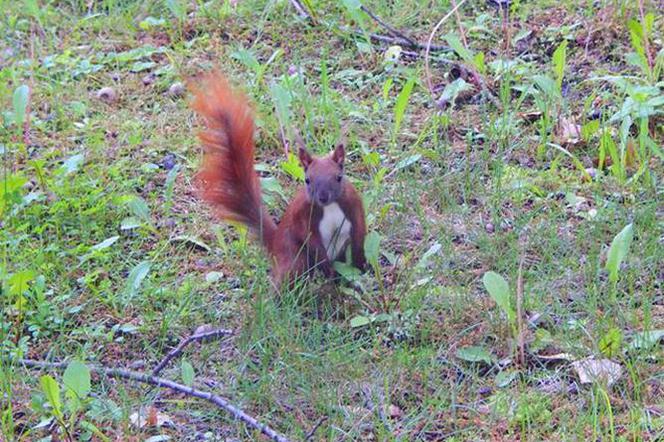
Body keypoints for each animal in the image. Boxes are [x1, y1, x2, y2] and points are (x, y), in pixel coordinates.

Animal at [191, 72, 368, 286]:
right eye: (307, 180)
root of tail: (275, 243)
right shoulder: (303, 216)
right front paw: (328, 268)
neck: (329, 207)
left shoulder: (354, 205)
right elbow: (313, 242)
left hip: (340, 253)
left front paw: (362, 268)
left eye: (339, 177)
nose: (323, 197)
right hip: (294, 258)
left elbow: (359, 235)